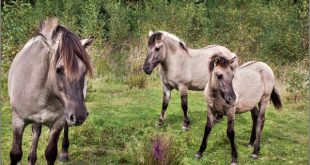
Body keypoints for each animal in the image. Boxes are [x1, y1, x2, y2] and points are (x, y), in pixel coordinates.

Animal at [8, 18, 93, 165]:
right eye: (59, 69)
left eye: (85, 70)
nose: (80, 115)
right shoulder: (18, 120)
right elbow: (15, 154)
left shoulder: (58, 122)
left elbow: (50, 153)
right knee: (36, 131)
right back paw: (31, 159)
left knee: (65, 127)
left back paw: (64, 152)